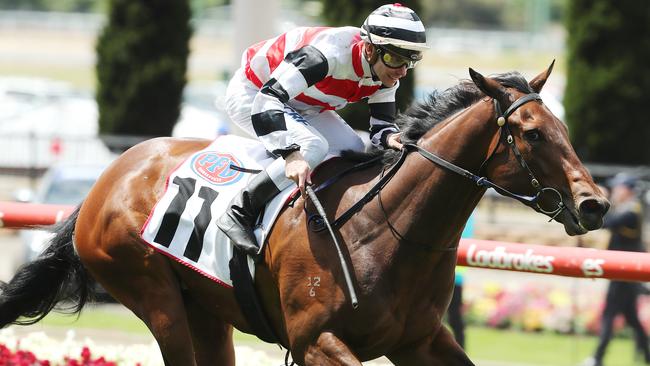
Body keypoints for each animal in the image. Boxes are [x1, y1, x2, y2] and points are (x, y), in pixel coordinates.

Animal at [0, 64, 608, 364]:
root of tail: (108, 177)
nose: (594, 203)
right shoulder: (317, 341)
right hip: (152, 294)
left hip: (206, 309)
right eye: (531, 134)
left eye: (563, 128)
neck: (384, 231)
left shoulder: (418, 341)